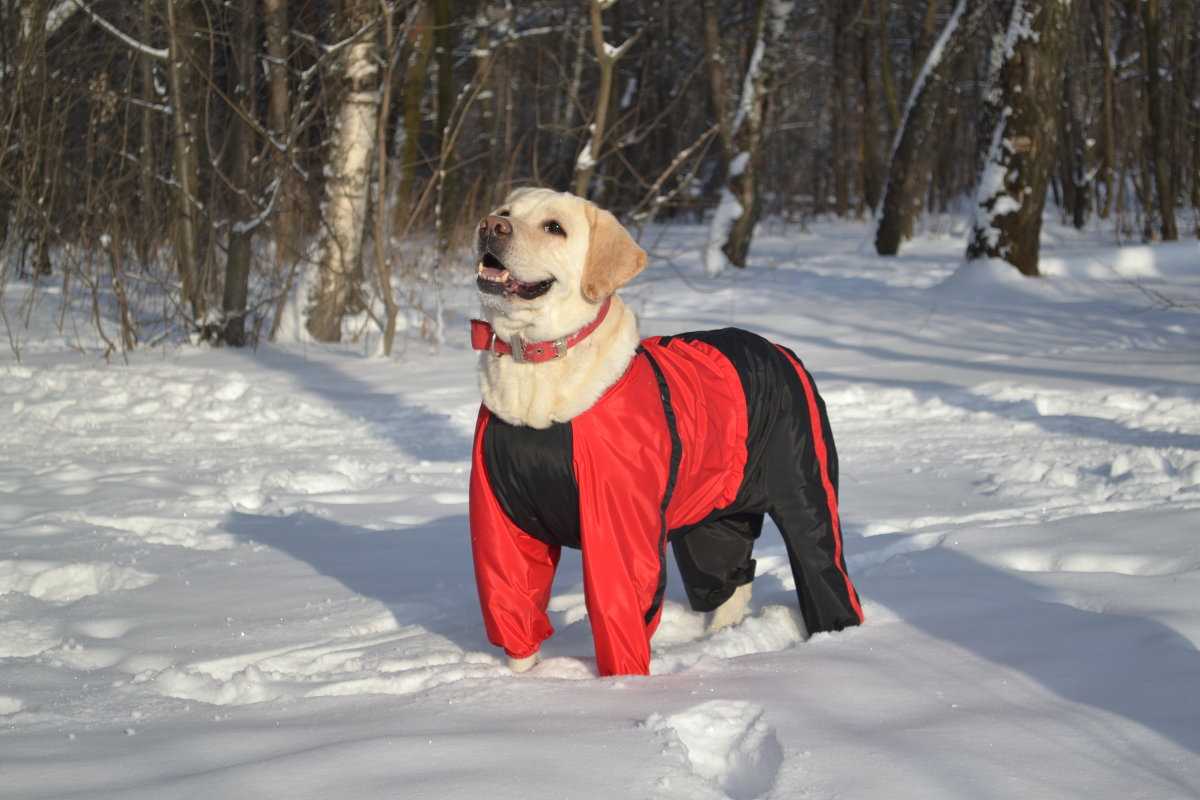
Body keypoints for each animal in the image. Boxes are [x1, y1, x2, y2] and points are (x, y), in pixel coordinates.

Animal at [468, 188, 864, 676]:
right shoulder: (500, 525)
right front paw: (522, 680)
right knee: (731, 579)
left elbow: (621, 614)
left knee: (822, 563)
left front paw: (621, 686)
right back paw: (722, 639)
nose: (490, 226)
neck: (534, 364)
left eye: (554, 228)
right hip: (712, 522)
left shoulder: (620, 528)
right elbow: (514, 607)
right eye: (505, 213)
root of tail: (778, 347)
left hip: (805, 487)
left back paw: (838, 640)